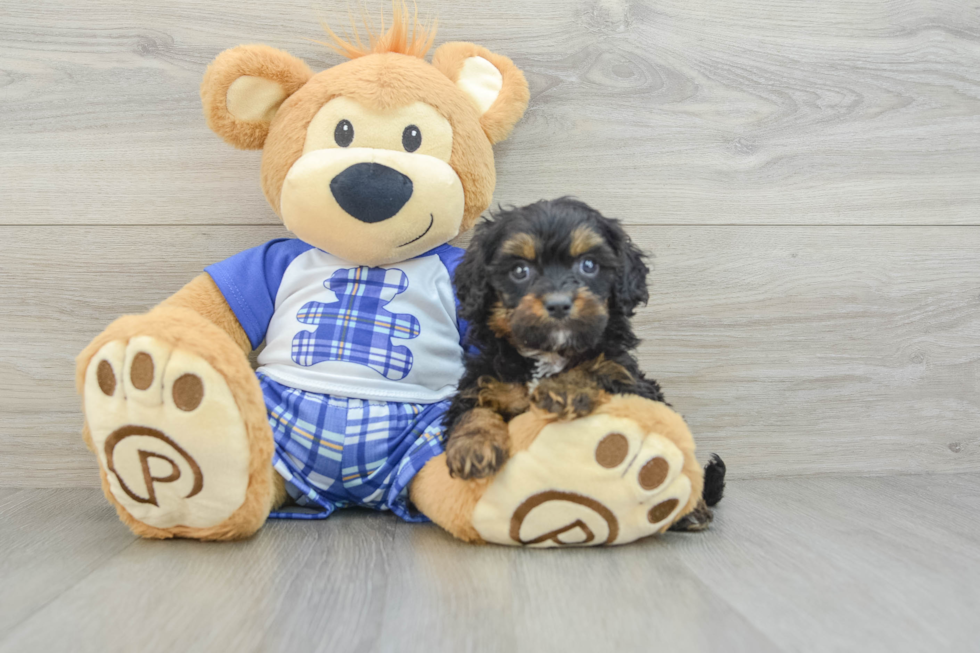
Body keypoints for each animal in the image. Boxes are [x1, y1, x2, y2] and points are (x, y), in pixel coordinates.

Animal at [448, 197, 724, 528]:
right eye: (519, 270)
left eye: (589, 265)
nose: (558, 304)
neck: (549, 353)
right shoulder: (482, 379)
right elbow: (472, 411)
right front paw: (473, 447)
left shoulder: (629, 379)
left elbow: (597, 367)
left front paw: (563, 388)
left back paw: (691, 510)